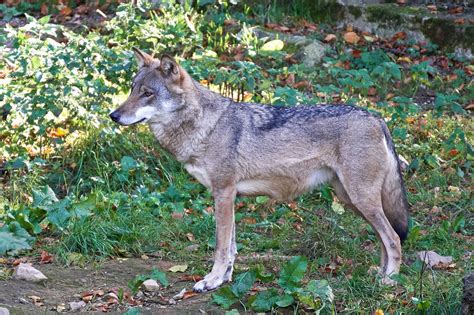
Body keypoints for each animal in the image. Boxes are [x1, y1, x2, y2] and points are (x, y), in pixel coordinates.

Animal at [109, 49, 410, 294]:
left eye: (148, 93)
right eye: (132, 89)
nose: (114, 116)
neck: (205, 126)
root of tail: (377, 118)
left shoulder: (223, 194)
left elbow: (220, 247)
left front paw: (210, 281)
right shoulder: (229, 197)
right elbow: (231, 248)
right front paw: (224, 279)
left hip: (361, 199)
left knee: (394, 238)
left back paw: (389, 282)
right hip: (352, 200)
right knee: (385, 239)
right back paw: (378, 274)